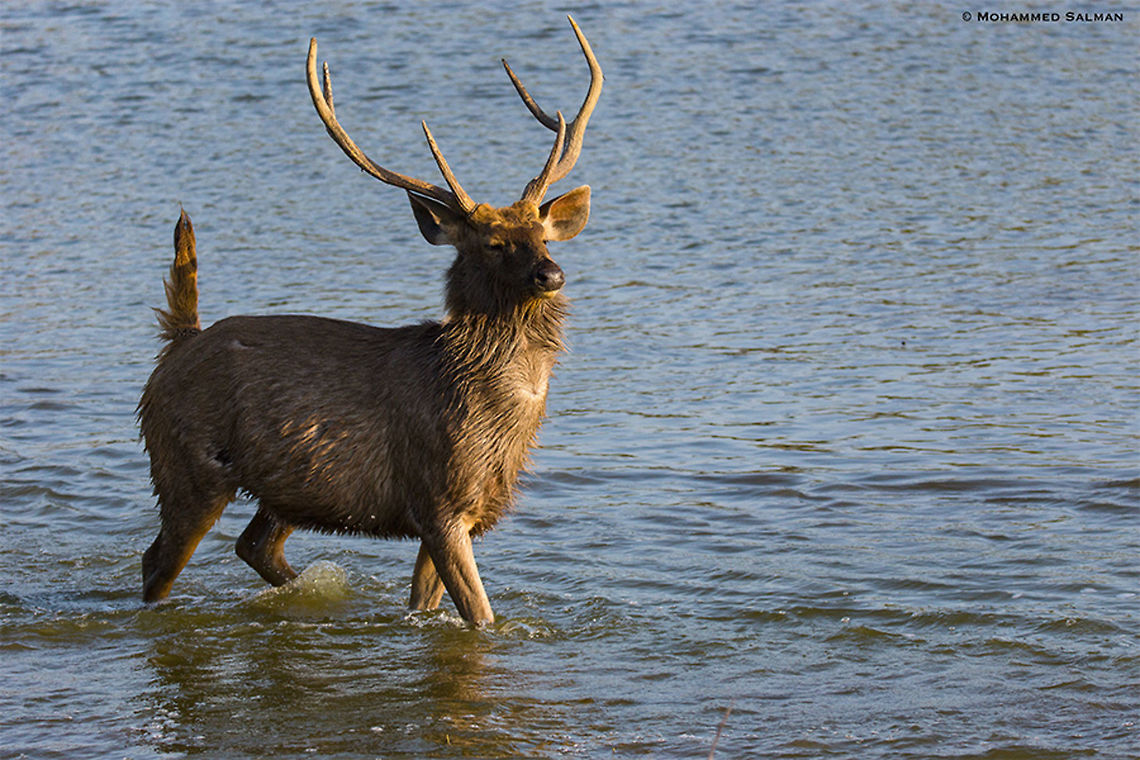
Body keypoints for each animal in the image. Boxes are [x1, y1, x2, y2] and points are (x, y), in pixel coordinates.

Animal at [137, 17, 602, 626]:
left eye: (543, 236)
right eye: (494, 243)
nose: (552, 273)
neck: (496, 413)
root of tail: (179, 341)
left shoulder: (464, 513)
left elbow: (427, 607)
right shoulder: (437, 499)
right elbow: (481, 616)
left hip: (287, 489)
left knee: (253, 545)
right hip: (186, 467)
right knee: (156, 563)